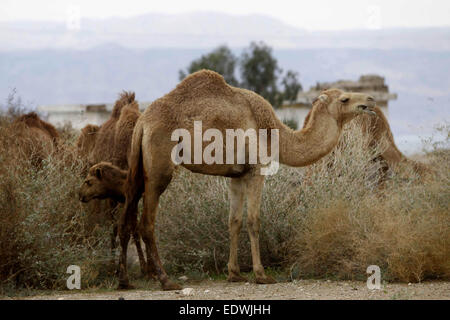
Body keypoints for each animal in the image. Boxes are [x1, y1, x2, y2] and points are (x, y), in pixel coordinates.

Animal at [117, 70, 376, 290]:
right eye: (344, 99)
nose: (371, 100)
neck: (275, 134)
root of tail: (143, 123)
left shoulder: (237, 176)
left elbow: (234, 221)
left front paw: (234, 274)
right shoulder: (256, 171)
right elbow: (253, 220)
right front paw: (261, 275)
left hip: (137, 169)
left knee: (126, 220)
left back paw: (125, 281)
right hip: (159, 170)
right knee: (147, 222)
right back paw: (166, 280)